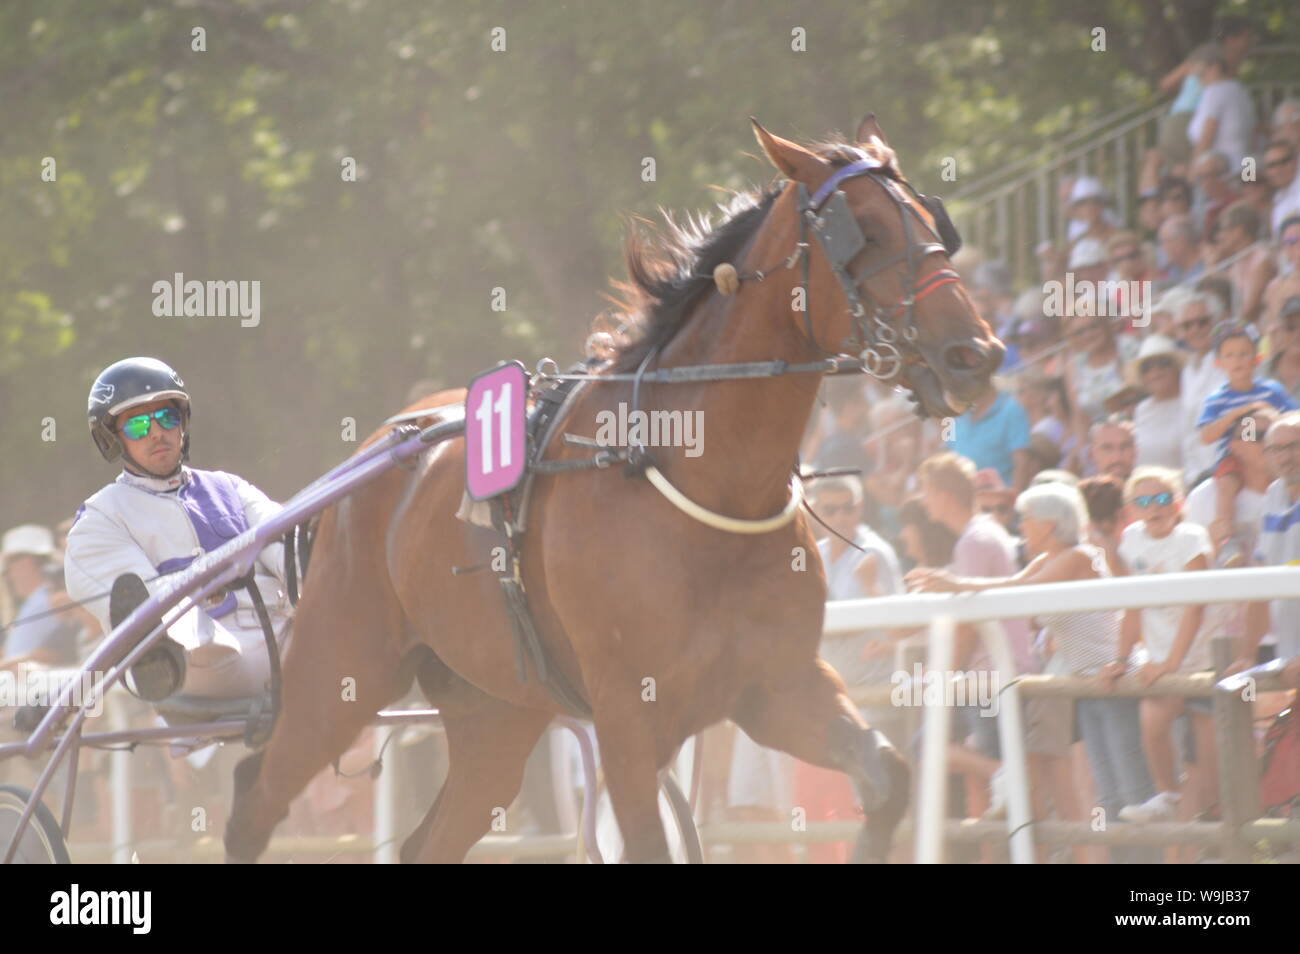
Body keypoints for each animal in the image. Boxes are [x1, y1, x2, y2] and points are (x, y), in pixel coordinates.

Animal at [225, 115, 1003, 863]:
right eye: (863, 232)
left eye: (932, 222)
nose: (976, 353)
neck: (703, 484)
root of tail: (380, 448)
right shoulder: (629, 719)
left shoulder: (776, 686)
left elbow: (886, 777)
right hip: (341, 674)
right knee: (255, 801)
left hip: (497, 708)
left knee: (432, 837)